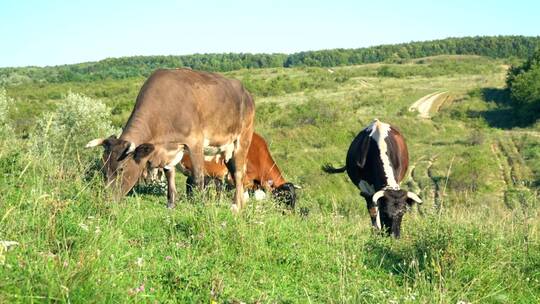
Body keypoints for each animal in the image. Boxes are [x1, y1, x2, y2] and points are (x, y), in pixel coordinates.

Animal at [86, 68, 255, 211]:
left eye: (121, 169)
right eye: (103, 167)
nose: (107, 199)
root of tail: (246, 92)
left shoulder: (195, 142)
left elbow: (198, 177)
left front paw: (200, 204)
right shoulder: (169, 150)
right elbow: (169, 175)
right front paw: (171, 203)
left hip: (243, 139)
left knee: (238, 173)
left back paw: (236, 206)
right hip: (226, 149)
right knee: (234, 173)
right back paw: (241, 203)